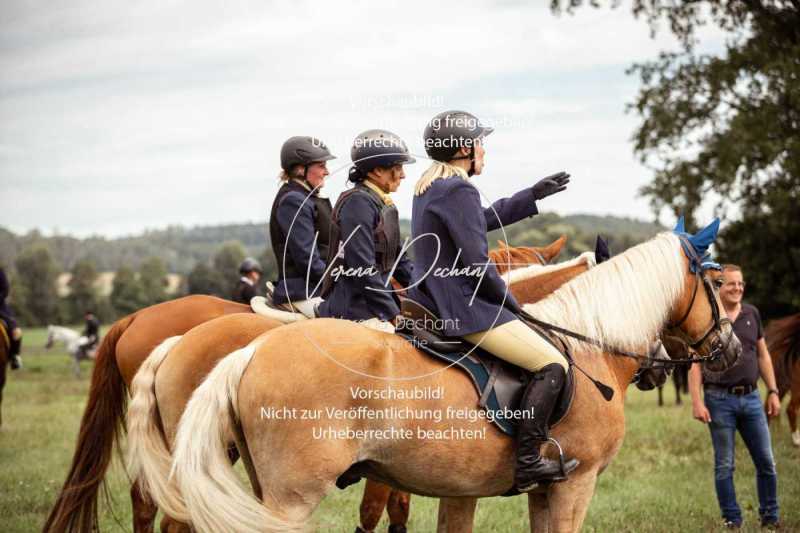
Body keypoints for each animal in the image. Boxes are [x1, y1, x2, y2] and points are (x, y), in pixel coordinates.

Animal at [170, 232, 744, 532]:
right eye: (716, 286)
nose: (732, 350)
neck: (588, 345)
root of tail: (250, 351)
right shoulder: (575, 484)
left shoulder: (520, 490)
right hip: (291, 497)